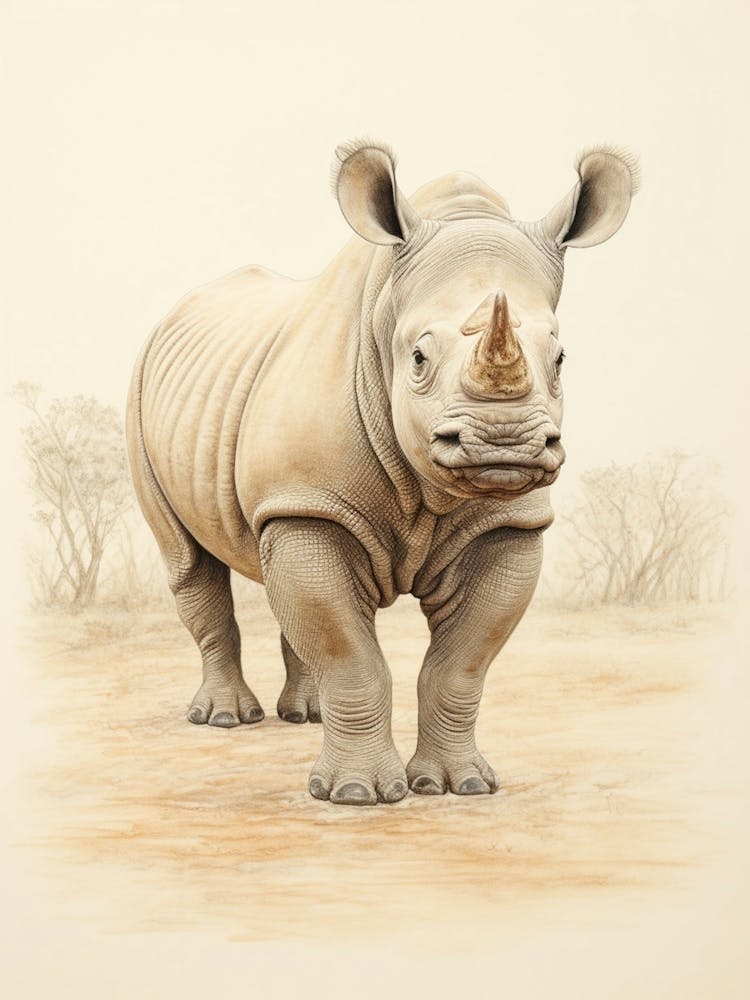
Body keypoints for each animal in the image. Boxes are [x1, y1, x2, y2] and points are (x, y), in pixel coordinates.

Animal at [126, 139, 638, 805]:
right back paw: (224, 719)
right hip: (141, 391)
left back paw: (306, 717)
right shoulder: (309, 500)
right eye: (417, 358)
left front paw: (463, 785)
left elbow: (459, 663)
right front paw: (355, 795)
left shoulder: (508, 524)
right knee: (189, 561)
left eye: (559, 358)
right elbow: (351, 656)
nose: (504, 443)